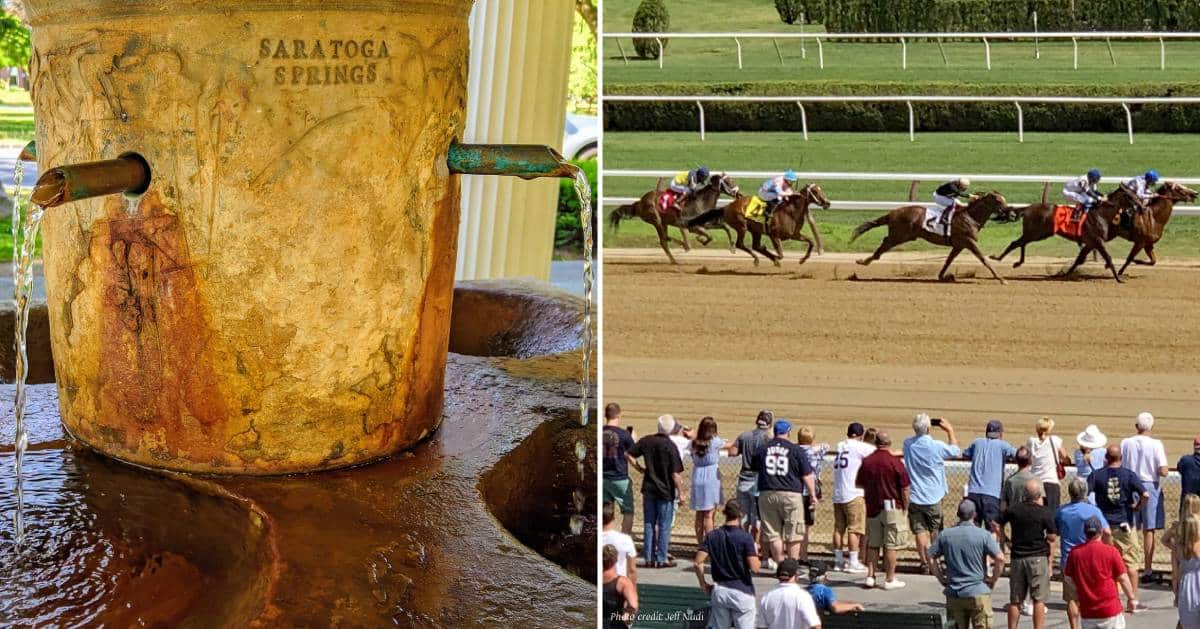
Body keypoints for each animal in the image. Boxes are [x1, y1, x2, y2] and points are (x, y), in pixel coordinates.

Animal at [691, 181, 830, 265]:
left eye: (821, 190)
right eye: (815, 191)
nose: (827, 203)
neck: (790, 211)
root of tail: (727, 207)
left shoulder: (794, 234)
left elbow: (811, 242)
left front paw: (802, 260)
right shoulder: (774, 235)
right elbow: (780, 254)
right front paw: (775, 258)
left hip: (755, 230)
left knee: (755, 245)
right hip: (741, 226)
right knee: (741, 244)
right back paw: (757, 258)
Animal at [849, 189, 1017, 282]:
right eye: (998, 200)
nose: (1013, 214)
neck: (970, 216)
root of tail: (892, 213)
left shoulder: (959, 244)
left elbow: (948, 261)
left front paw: (943, 276)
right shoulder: (969, 241)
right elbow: (983, 259)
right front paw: (1001, 279)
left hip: (902, 235)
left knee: (885, 243)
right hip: (900, 235)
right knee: (884, 244)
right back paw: (864, 261)